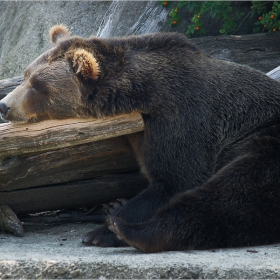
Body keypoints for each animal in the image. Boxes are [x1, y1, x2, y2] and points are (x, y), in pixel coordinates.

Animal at [1, 25, 280, 253]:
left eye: (38, 85)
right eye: (25, 75)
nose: (4, 105)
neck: (141, 98)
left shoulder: (182, 118)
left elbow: (177, 179)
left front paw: (106, 227)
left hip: (262, 137)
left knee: (237, 192)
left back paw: (122, 230)